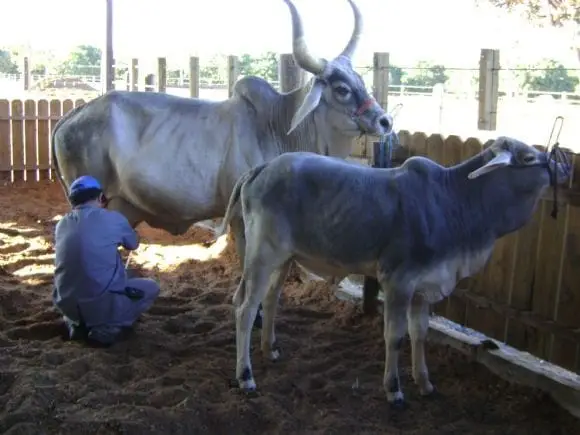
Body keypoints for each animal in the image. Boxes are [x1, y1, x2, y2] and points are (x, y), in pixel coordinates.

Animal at [51, 0, 394, 272]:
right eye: (342, 89)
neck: (278, 127)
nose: (385, 121)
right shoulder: (244, 222)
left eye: (360, 79)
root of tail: (71, 116)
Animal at [216, 137, 572, 408]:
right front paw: (394, 388)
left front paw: (425, 382)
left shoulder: (426, 286)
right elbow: (395, 335)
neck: (455, 201)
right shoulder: (398, 280)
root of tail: (261, 169)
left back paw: (270, 349)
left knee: (270, 299)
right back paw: (246, 376)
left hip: (284, 258)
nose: (564, 165)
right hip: (263, 255)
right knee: (245, 308)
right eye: (529, 157)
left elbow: (420, 333)